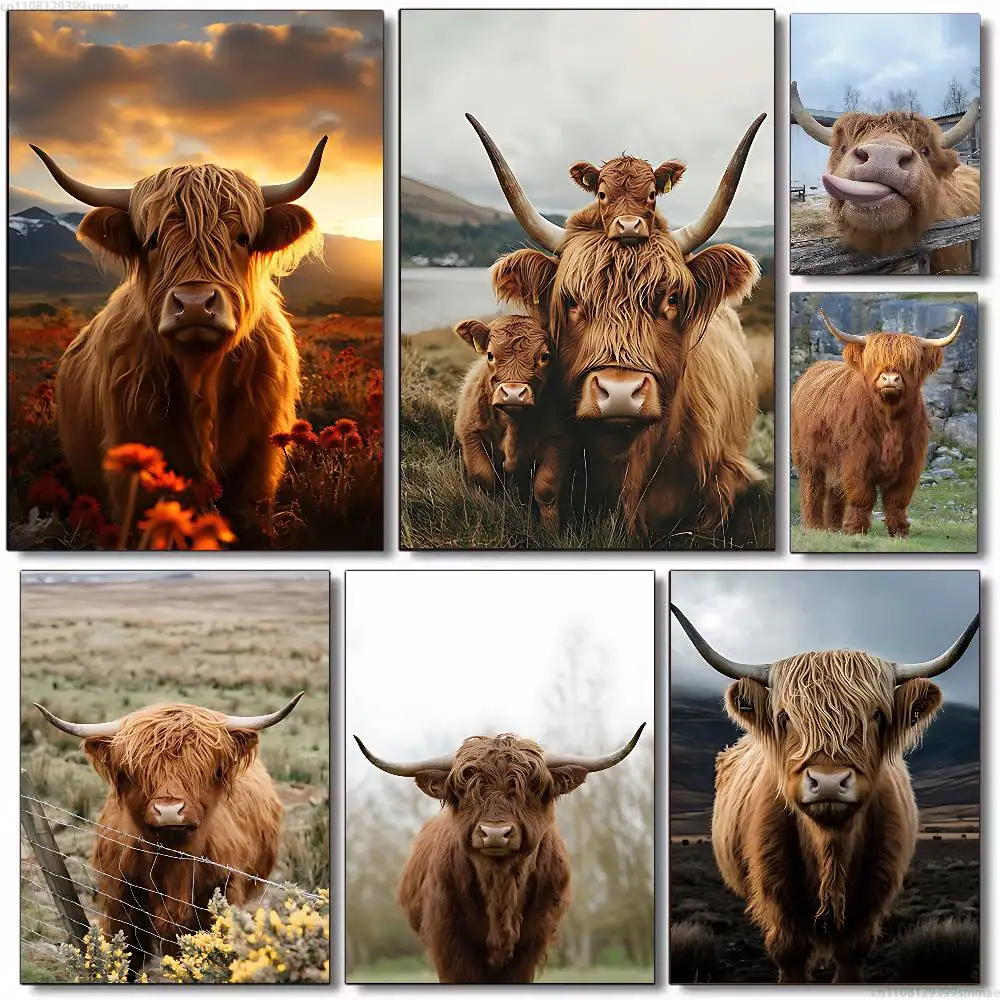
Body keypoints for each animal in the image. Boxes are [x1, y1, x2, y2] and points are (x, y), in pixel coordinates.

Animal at [34, 693, 303, 978]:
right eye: (137, 768)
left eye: (204, 768)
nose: (170, 810)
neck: (171, 862)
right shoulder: (121, 907)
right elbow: (127, 959)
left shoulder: (222, 898)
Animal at [453, 315, 562, 529]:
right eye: (490, 355)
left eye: (545, 356)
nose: (513, 393)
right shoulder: (470, 434)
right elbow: (483, 477)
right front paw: (486, 511)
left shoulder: (558, 441)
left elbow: (546, 489)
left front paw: (550, 531)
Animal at [669, 603, 980, 983]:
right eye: (785, 716)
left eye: (877, 715)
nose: (828, 782)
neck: (830, 848)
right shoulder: (778, 906)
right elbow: (790, 957)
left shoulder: (869, 907)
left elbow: (851, 956)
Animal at [791, 309, 962, 537]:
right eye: (874, 360)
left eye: (909, 362)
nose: (890, 379)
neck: (890, 421)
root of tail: (814, 368)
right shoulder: (857, 458)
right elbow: (861, 495)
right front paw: (856, 529)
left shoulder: (910, 461)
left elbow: (897, 499)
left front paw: (899, 530)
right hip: (809, 458)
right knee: (813, 489)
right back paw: (814, 526)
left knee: (835, 491)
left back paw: (834, 527)